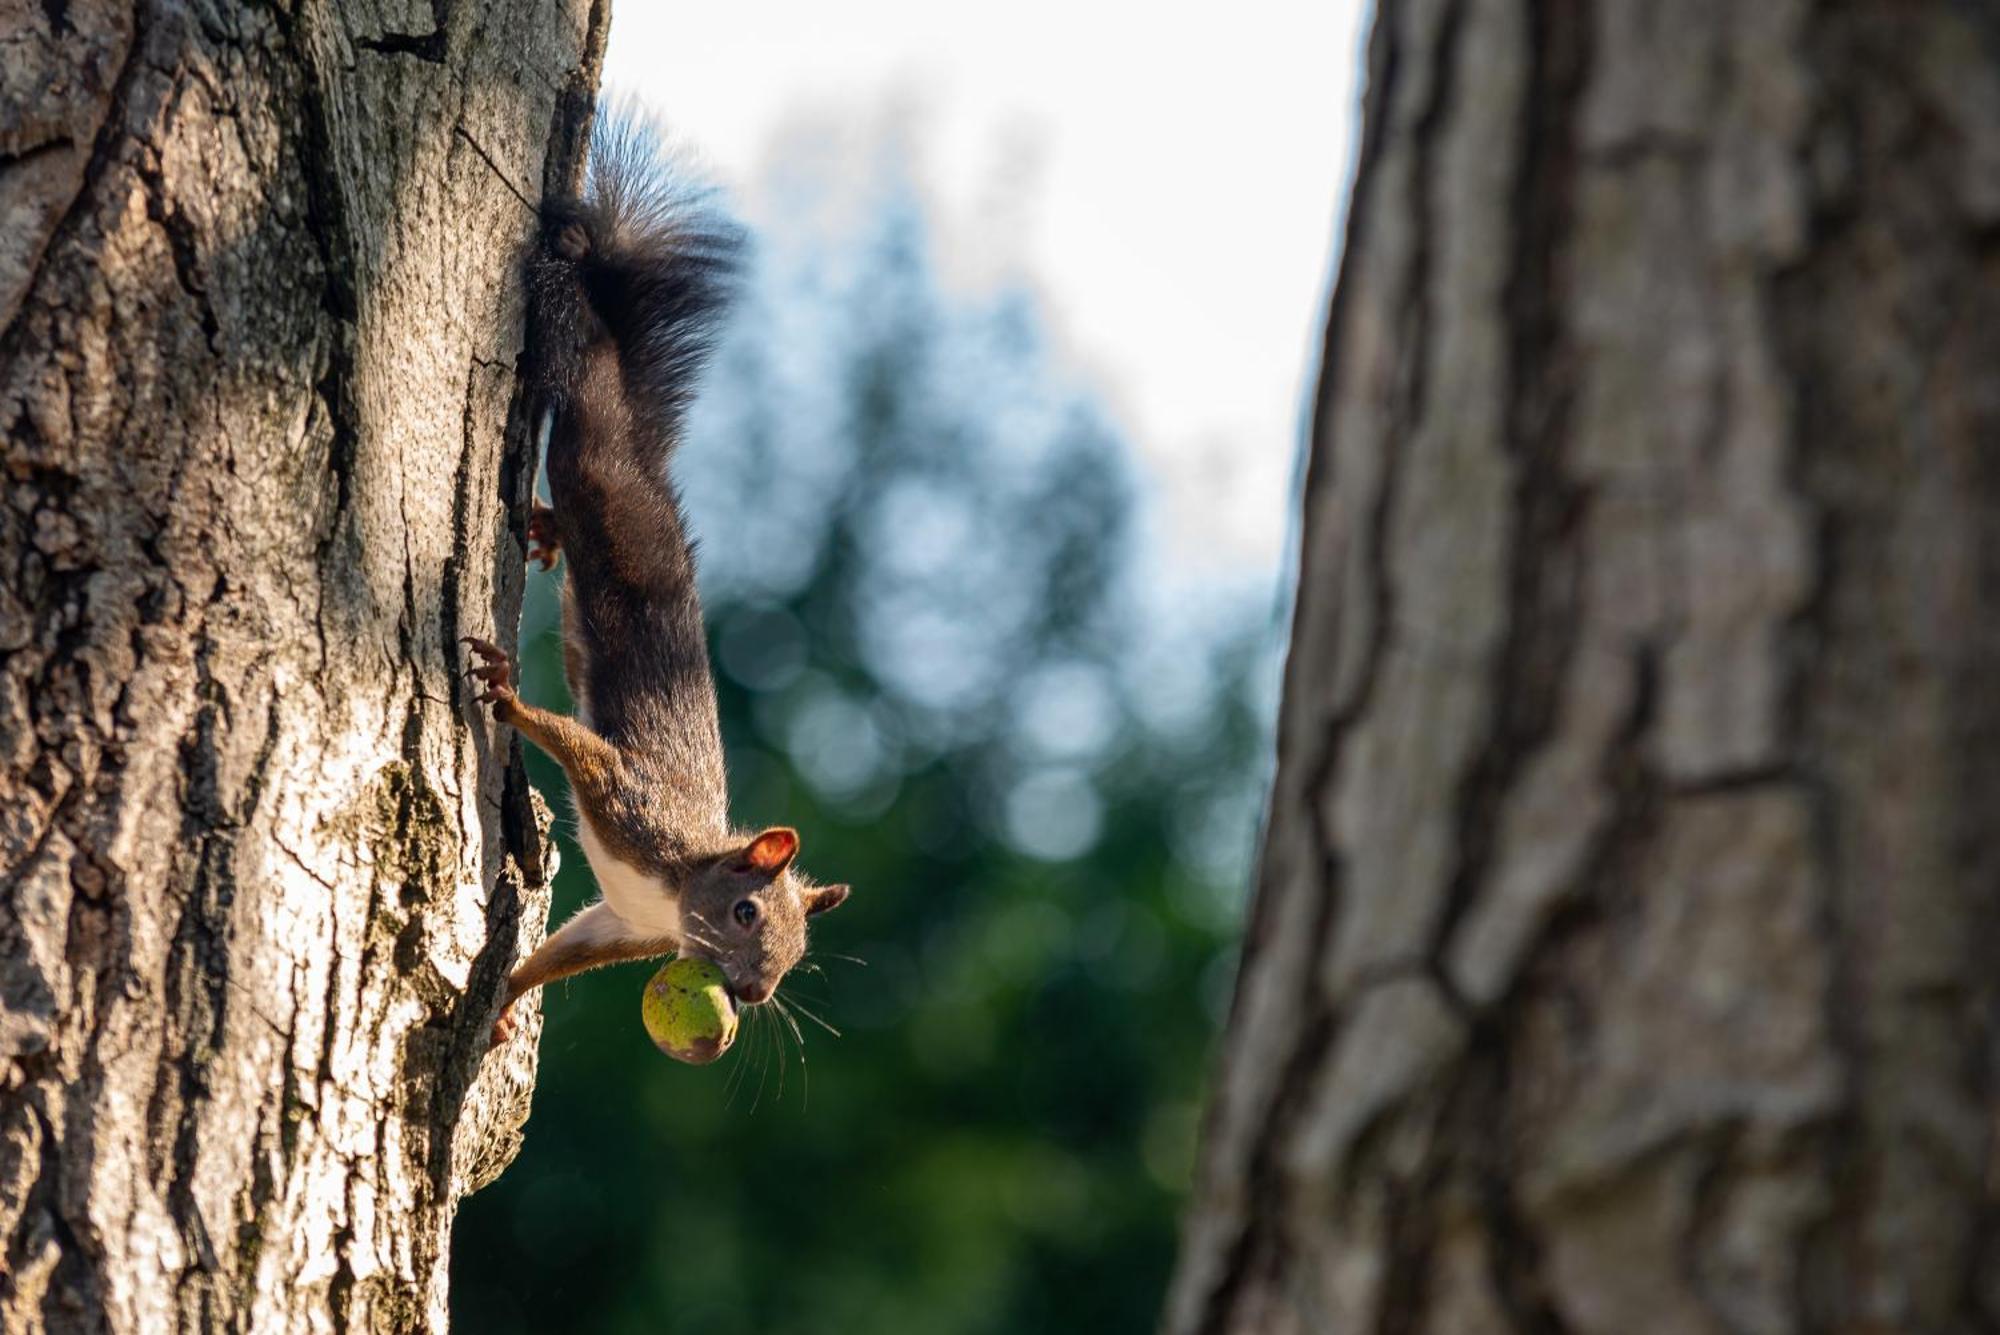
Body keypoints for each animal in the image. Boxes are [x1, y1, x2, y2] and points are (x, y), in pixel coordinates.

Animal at [470, 114, 852, 1047]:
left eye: (799, 953)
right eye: (747, 912)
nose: (753, 992)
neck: (679, 884)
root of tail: (647, 464)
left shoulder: (623, 924)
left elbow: (560, 954)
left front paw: (507, 1000)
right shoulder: (629, 802)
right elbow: (576, 744)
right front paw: (507, 697)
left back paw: (541, 530)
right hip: (594, 451)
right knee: (579, 369)